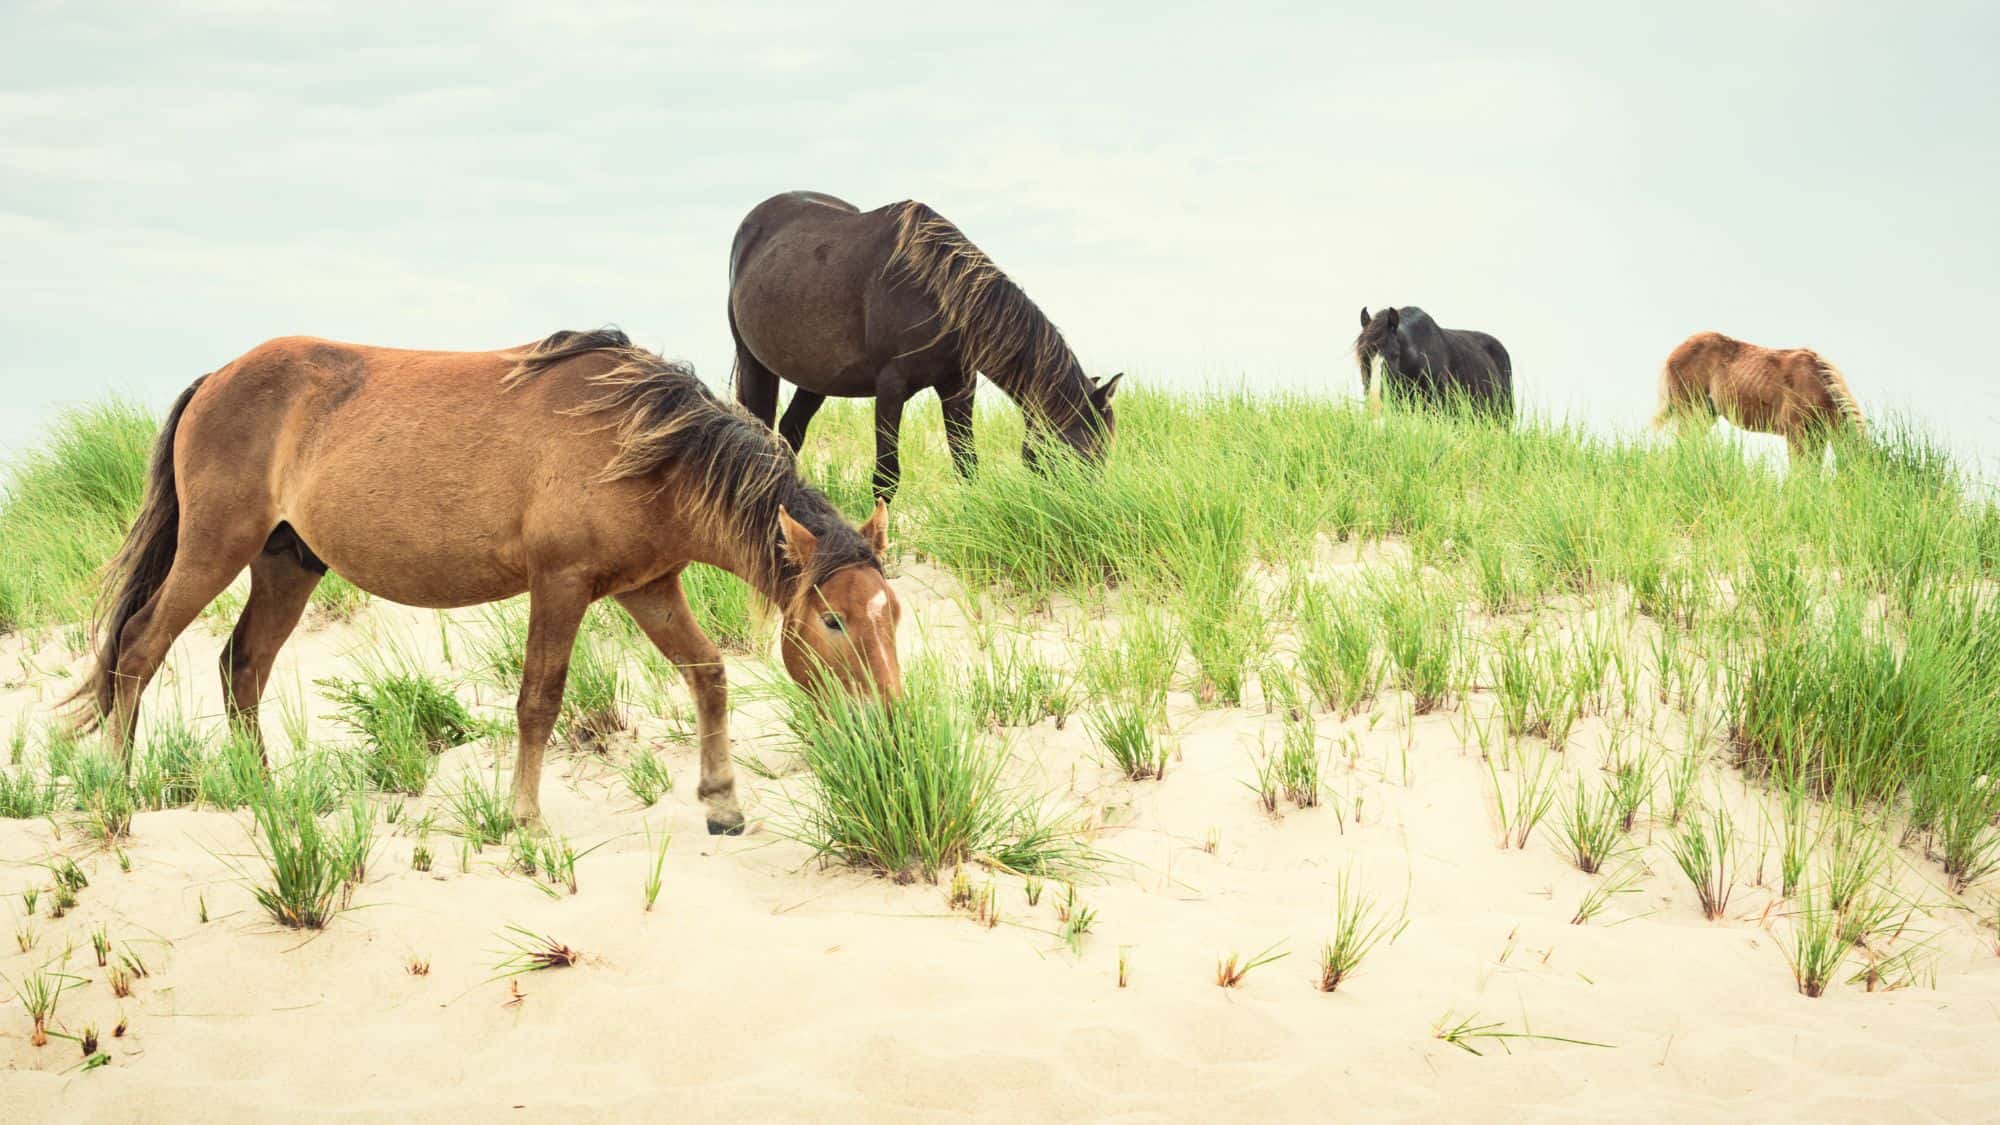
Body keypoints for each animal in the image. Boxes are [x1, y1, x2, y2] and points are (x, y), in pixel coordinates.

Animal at [64, 328, 902, 834]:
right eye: (833, 621)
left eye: (893, 615)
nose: (893, 725)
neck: (642, 443)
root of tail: (217, 378)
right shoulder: (560, 584)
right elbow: (539, 700)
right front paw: (524, 818)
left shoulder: (650, 586)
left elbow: (708, 673)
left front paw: (722, 801)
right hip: (214, 549)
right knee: (138, 649)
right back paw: (117, 796)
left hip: (285, 564)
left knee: (243, 666)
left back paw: (265, 795)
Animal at [728, 190, 1122, 501]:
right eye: (1074, 453)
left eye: (1104, 452)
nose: (1084, 511)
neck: (935, 290)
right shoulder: (891, 388)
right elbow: (886, 477)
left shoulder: (959, 385)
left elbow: (966, 465)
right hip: (754, 364)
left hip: (816, 378)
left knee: (790, 431)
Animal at [1652, 331, 1866, 462]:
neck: (1816, 384)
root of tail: (1674, 353)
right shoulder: (1796, 434)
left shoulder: (1817, 437)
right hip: (1691, 413)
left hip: (1706, 415)